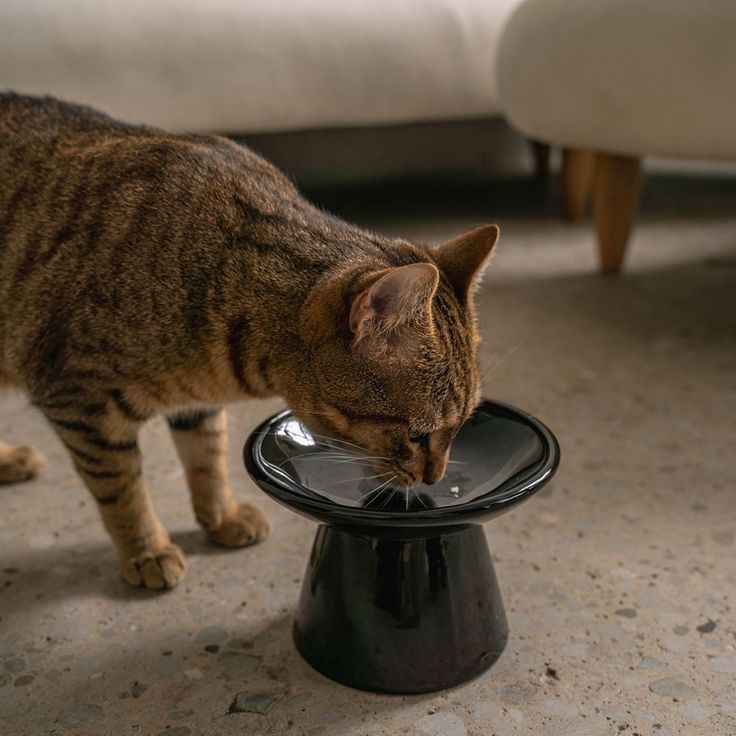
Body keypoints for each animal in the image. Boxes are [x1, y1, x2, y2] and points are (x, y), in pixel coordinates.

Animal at [0, 95, 498, 592]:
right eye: (417, 435)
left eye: (461, 426)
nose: (435, 479)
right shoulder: (80, 403)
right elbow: (123, 490)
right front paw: (148, 550)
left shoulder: (195, 403)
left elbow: (208, 459)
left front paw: (222, 517)